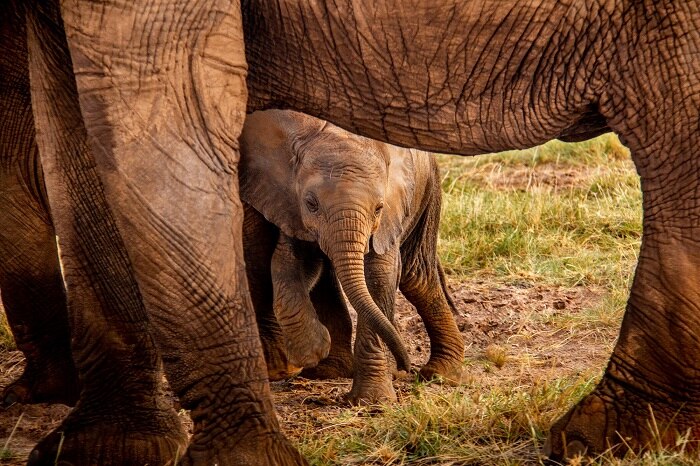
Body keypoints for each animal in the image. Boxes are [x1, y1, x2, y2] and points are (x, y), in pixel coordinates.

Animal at [241, 110, 464, 404]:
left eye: (378, 208)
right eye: (311, 204)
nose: (405, 366)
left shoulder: (390, 212)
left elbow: (379, 275)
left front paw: (373, 402)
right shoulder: (286, 201)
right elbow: (291, 263)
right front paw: (312, 351)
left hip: (428, 188)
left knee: (417, 278)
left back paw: (441, 375)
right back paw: (329, 370)